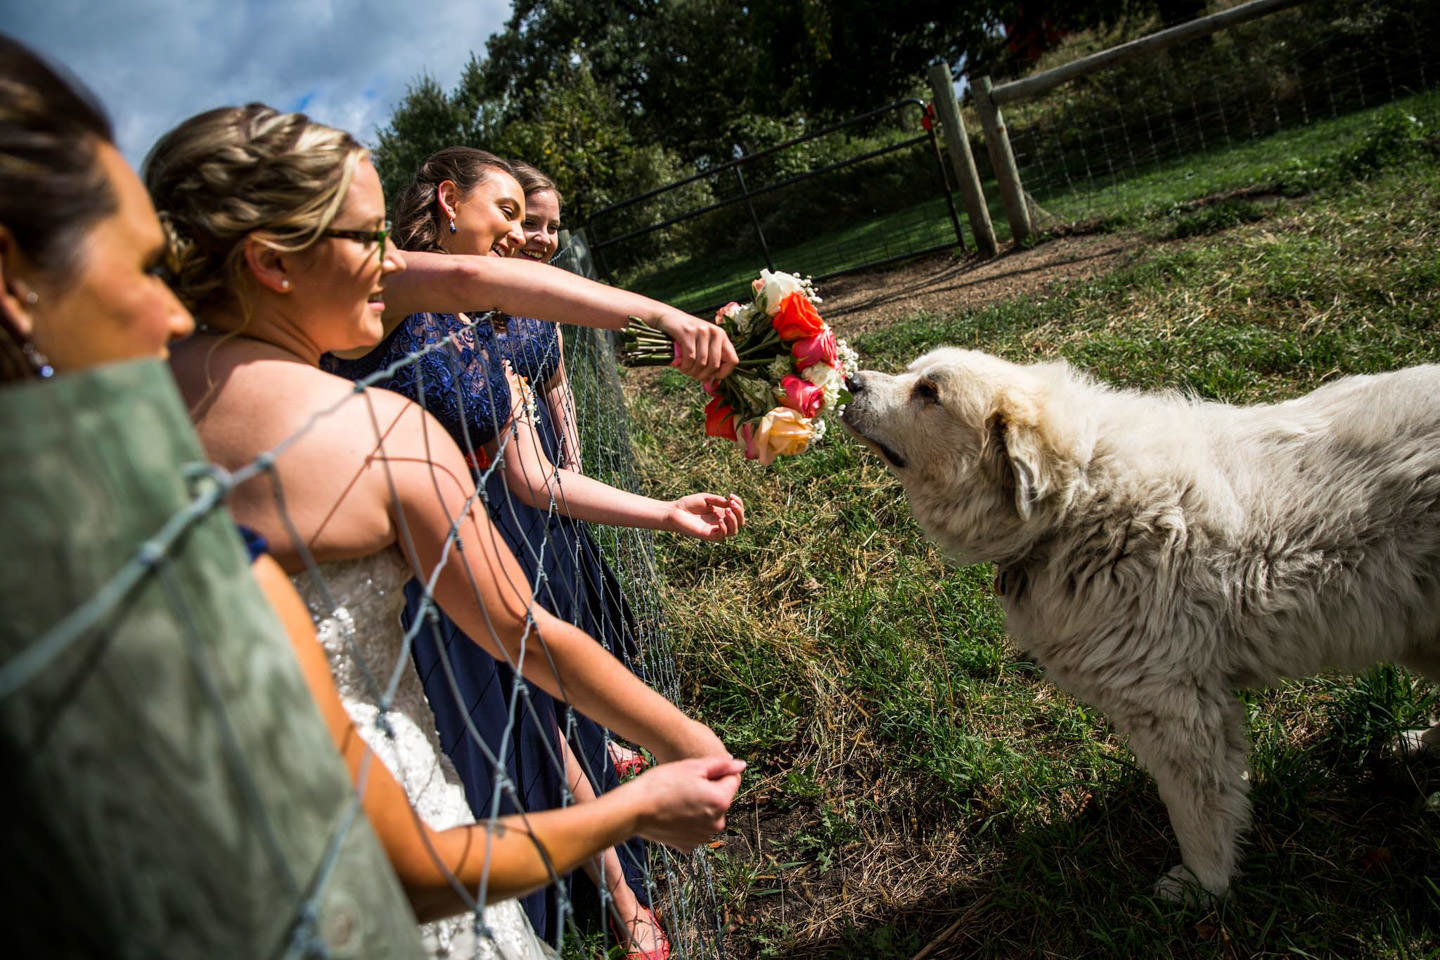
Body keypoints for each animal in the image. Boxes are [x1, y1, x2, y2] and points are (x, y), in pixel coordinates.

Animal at [840, 351, 1440, 903]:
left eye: (929, 392)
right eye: (911, 374)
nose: (850, 380)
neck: (1078, 505)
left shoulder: (1174, 707)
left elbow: (1197, 809)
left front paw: (1205, 885)